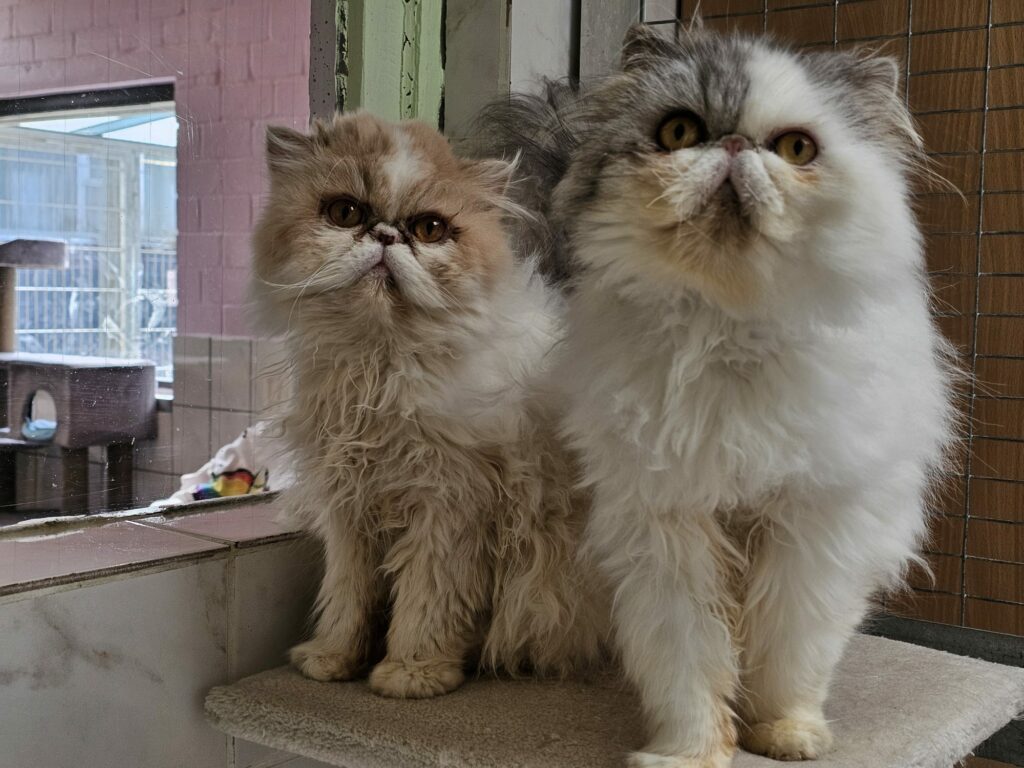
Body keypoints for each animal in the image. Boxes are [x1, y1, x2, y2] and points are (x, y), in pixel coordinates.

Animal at [250, 112, 605, 699]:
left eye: (430, 230)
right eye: (345, 213)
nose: (386, 235)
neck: (381, 369)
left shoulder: (449, 506)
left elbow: (427, 602)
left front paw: (413, 674)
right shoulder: (349, 506)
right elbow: (348, 597)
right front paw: (332, 659)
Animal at [481, 23, 957, 767]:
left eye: (796, 150)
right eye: (681, 132)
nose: (733, 146)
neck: (730, 334)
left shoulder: (812, 529)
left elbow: (790, 651)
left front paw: (785, 733)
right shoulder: (665, 529)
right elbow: (687, 661)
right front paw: (690, 751)